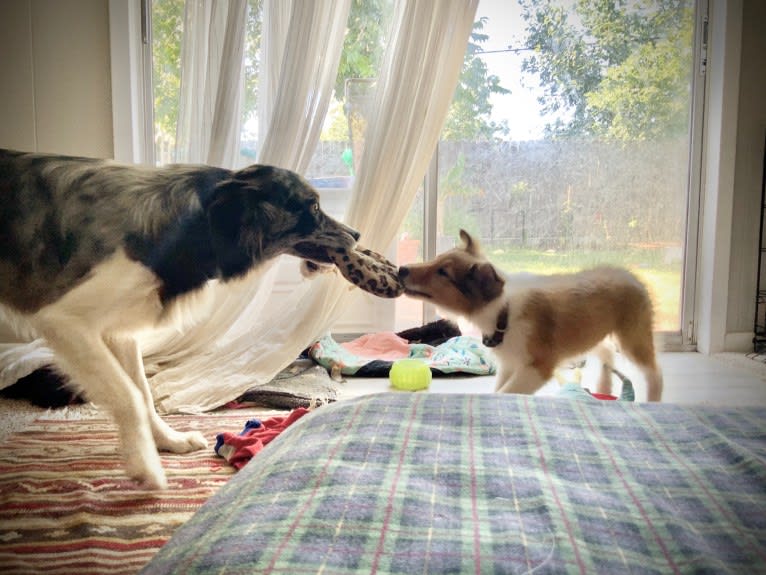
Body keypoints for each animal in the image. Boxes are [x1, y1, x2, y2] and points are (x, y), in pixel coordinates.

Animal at [400, 230, 664, 400]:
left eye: (443, 273)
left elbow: (506, 393)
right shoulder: (509, 364)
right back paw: (604, 386)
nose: (402, 269)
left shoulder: (537, 367)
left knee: (654, 373)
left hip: (632, 337)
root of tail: (631, 275)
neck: (502, 312)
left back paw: (651, 399)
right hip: (589, 334)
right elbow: (499, 389)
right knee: (606, 351)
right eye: (437, 259)